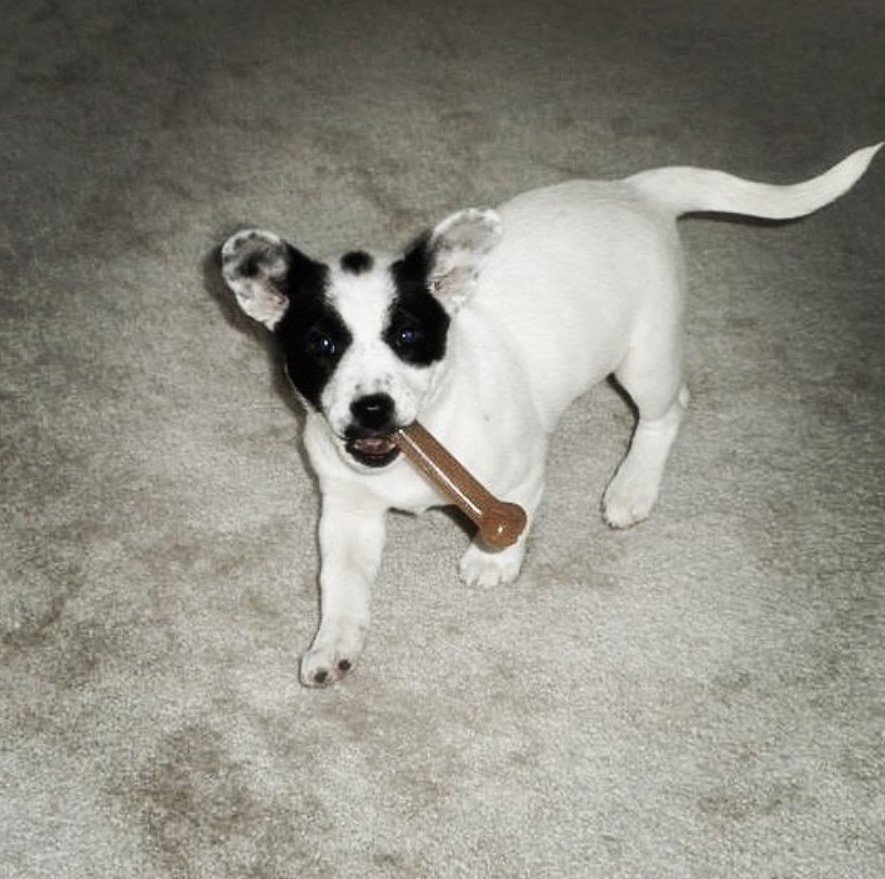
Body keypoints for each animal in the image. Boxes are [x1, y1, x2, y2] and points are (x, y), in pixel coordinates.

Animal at [219, 143, 876, 688]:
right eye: (322, 346)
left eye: (407, 337)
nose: (372, 408)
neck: (428, 433)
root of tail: (637, 191)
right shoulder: (348, 511)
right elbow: (341, 584)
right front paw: (333, 644)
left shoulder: (522, 472)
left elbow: (519, 513)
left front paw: (493, 560)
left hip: (645, 358)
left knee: (670, 410)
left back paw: (633, 487)